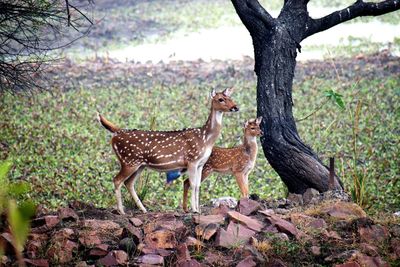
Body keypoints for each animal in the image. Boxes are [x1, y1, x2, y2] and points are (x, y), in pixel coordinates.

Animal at [98, 89, 238, 215]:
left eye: (231, 98)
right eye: (221, 99)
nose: (235, 107)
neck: (205, 139)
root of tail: (117, 132)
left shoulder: (201, 163)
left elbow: (198, 186)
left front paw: (198, 209)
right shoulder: (192, 160)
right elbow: (193, 184)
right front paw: (194, 209)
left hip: (139, 165)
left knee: (129, 183)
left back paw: (143, 209)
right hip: (128, 160)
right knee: (117, 180)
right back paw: (121, 211)